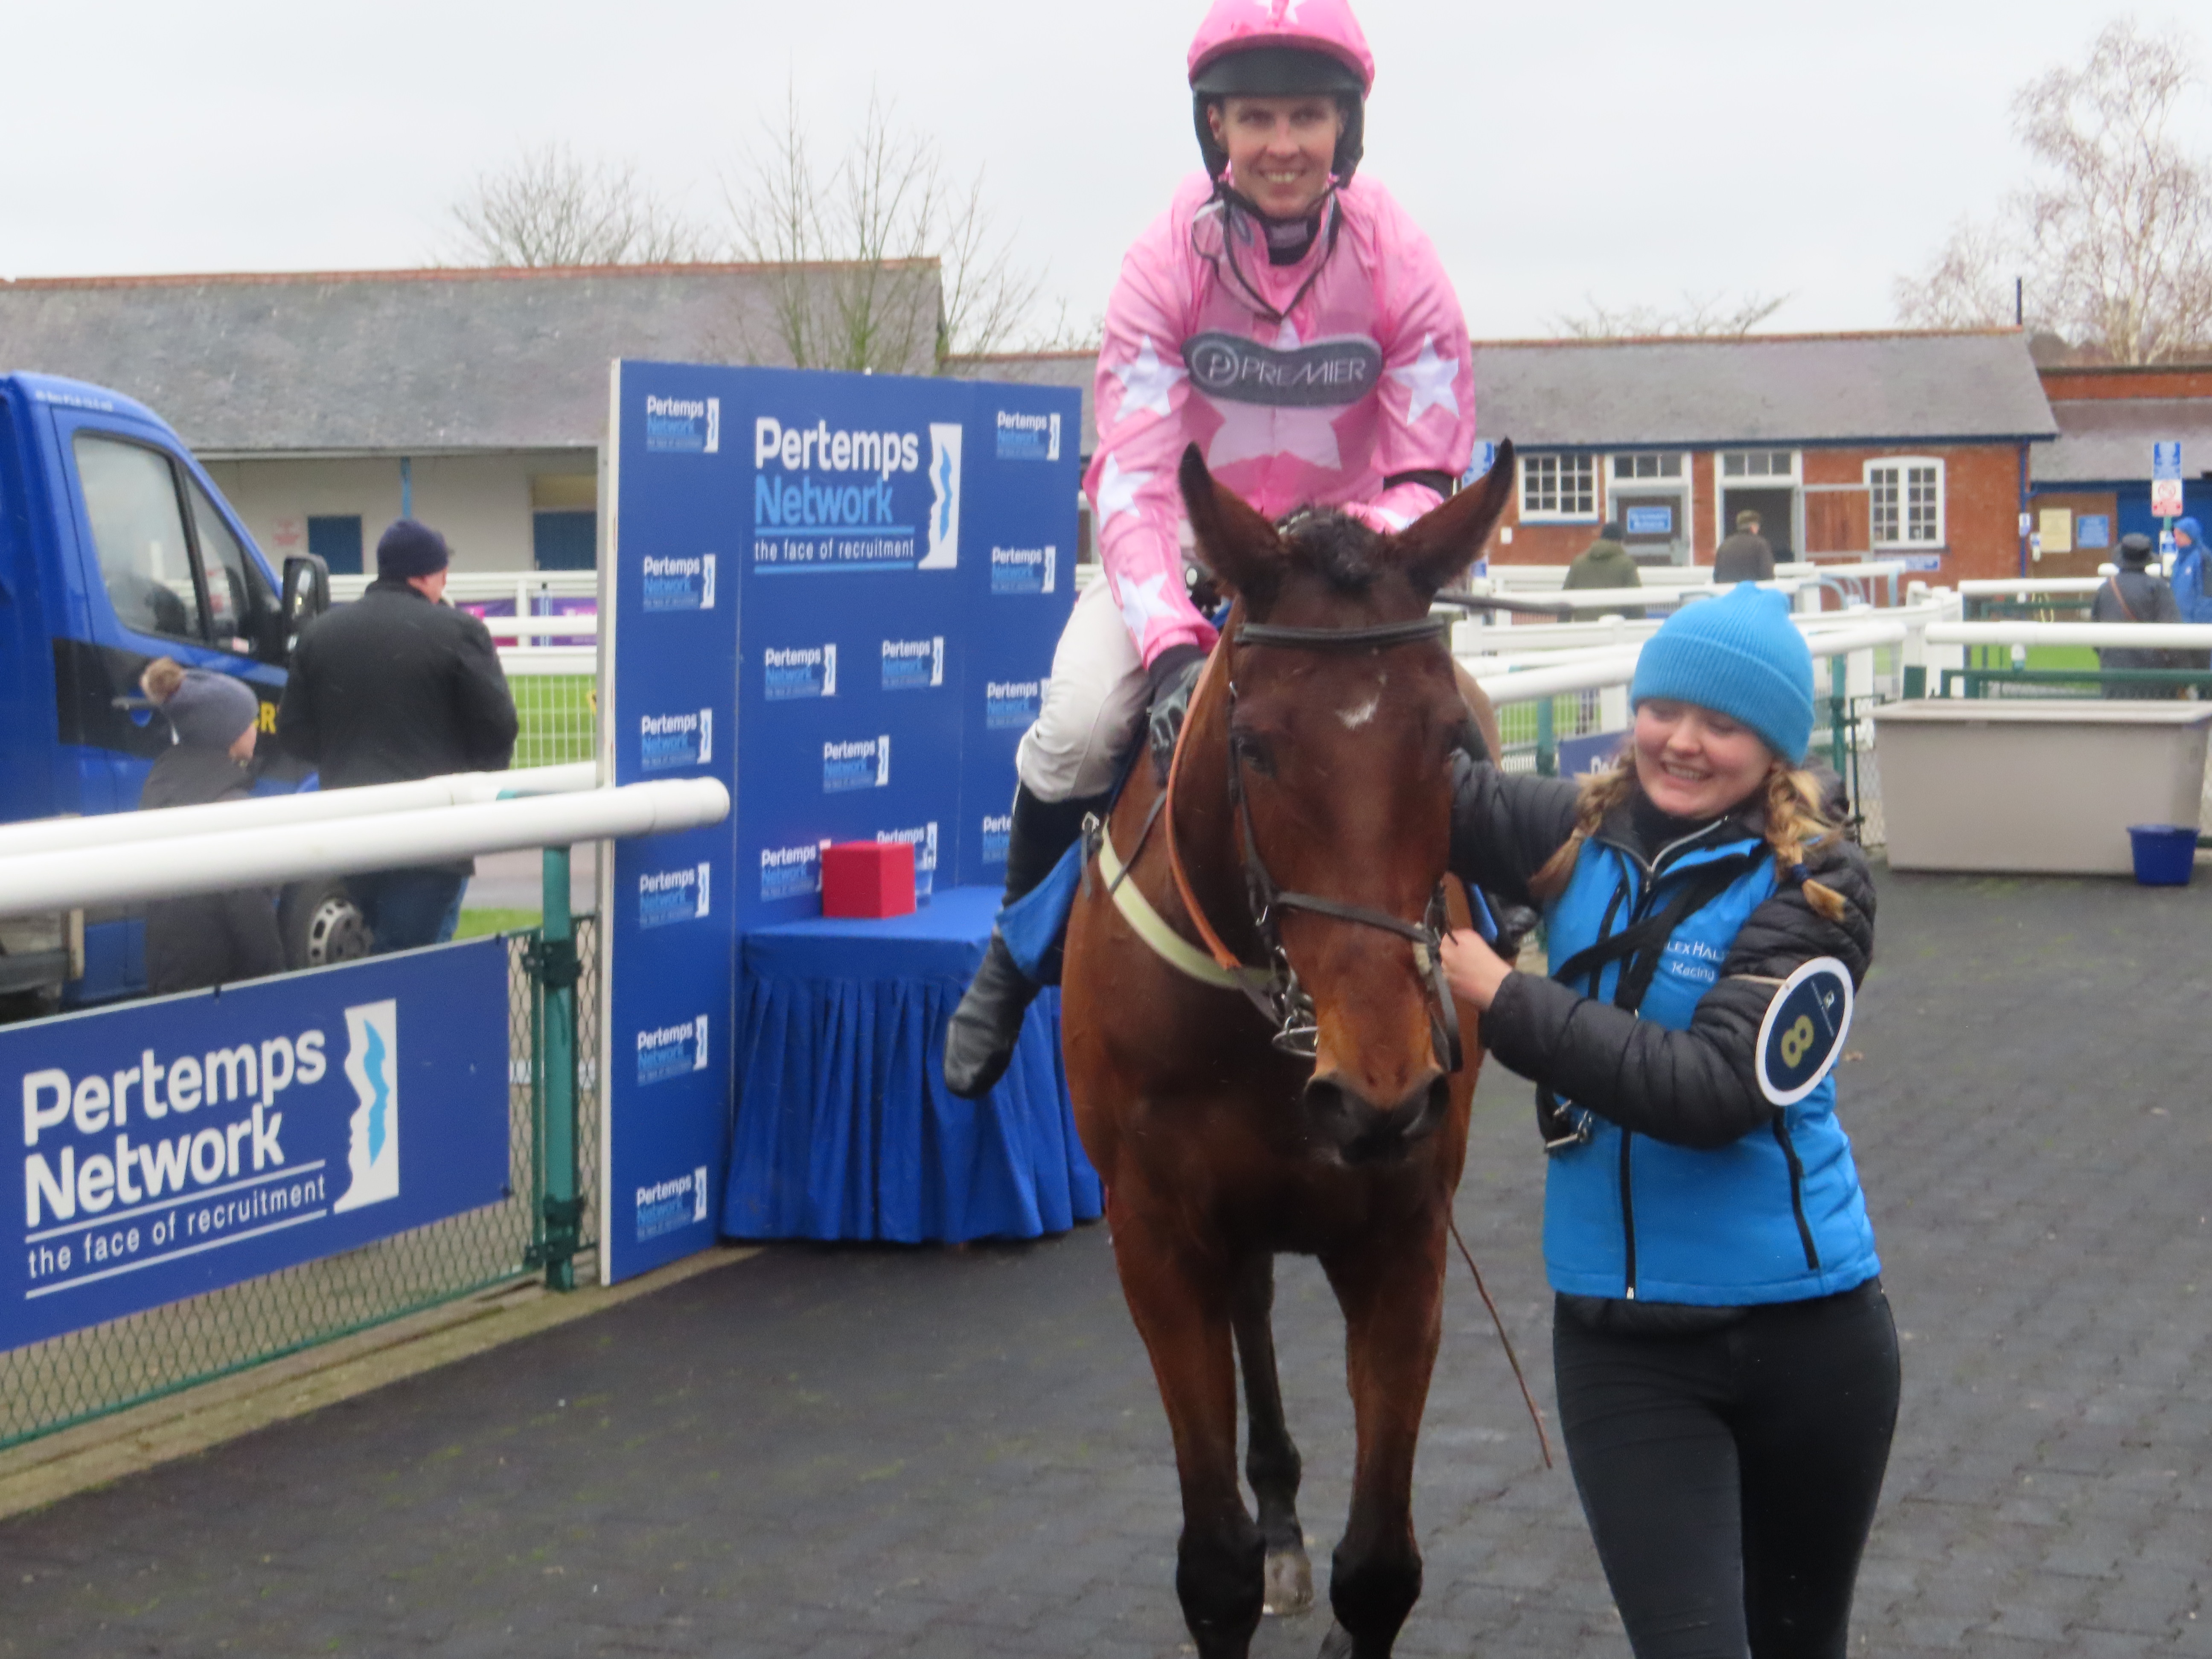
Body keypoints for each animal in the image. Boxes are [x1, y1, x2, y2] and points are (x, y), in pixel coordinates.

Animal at [1057, 444, 1513, 1659]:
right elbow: (1211, 1569)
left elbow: (1381, 1569)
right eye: (1252, 746)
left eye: (1450, 737)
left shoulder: (1404, 1238)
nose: (1379, 1094)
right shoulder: (1155, 1240)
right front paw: (1248, 1543)